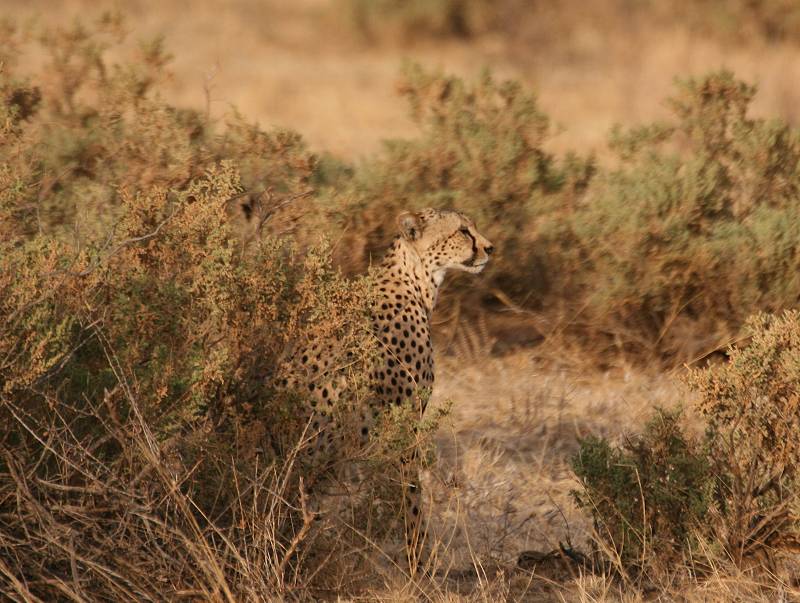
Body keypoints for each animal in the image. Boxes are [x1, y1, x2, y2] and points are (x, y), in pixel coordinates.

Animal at [282, 210, 494, 572]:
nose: (490, 248)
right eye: (463, 231)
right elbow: (410, 493)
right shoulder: (403, 424)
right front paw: (418, 562)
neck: (415, 281)